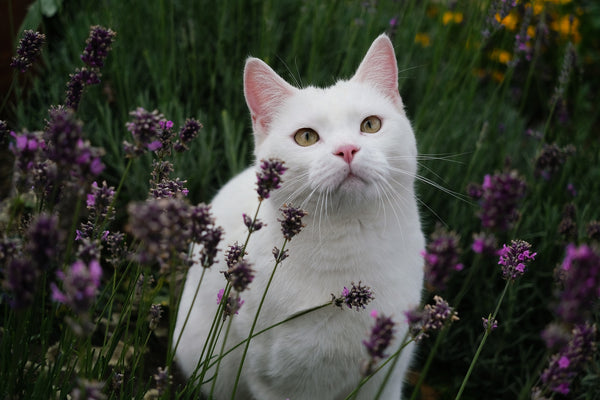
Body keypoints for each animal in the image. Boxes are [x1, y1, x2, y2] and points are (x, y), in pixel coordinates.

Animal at [173, 34, 424, 400]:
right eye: (306, 137)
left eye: (371, 125)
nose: (347, 149)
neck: (349, 240)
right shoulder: (277, 383)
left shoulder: (385, 378)